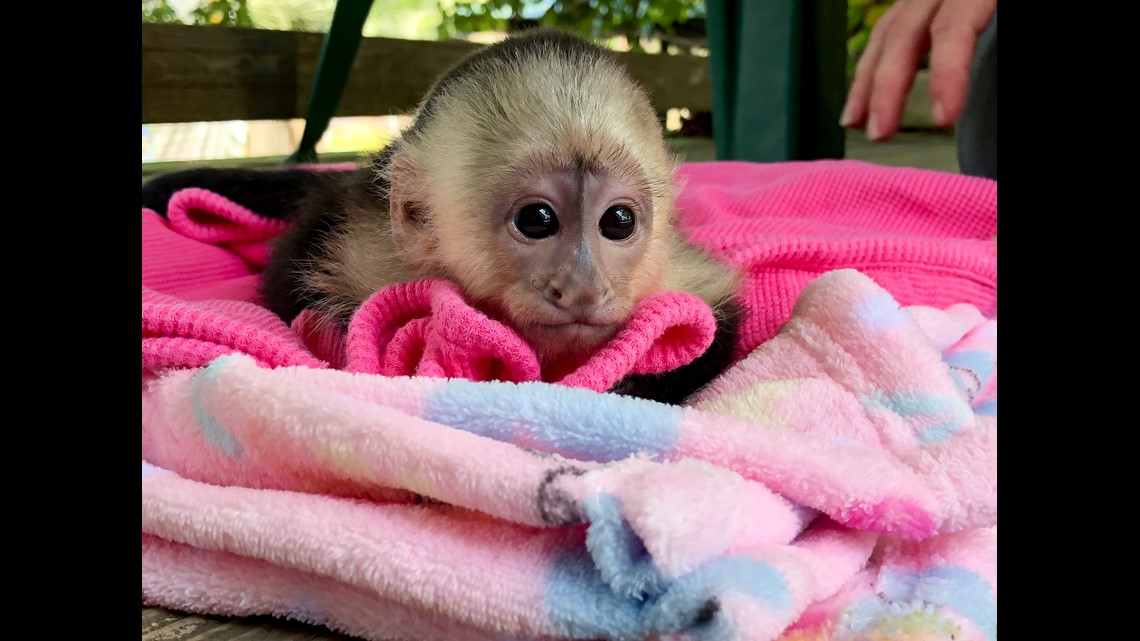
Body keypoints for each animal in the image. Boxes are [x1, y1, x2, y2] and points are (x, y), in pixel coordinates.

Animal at [142, 28, 743, 403]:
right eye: (538, 220)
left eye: (618, 221)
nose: (584, 288)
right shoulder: (370, 251)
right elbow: (308, 296)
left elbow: (718, 320)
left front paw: (630, 385)